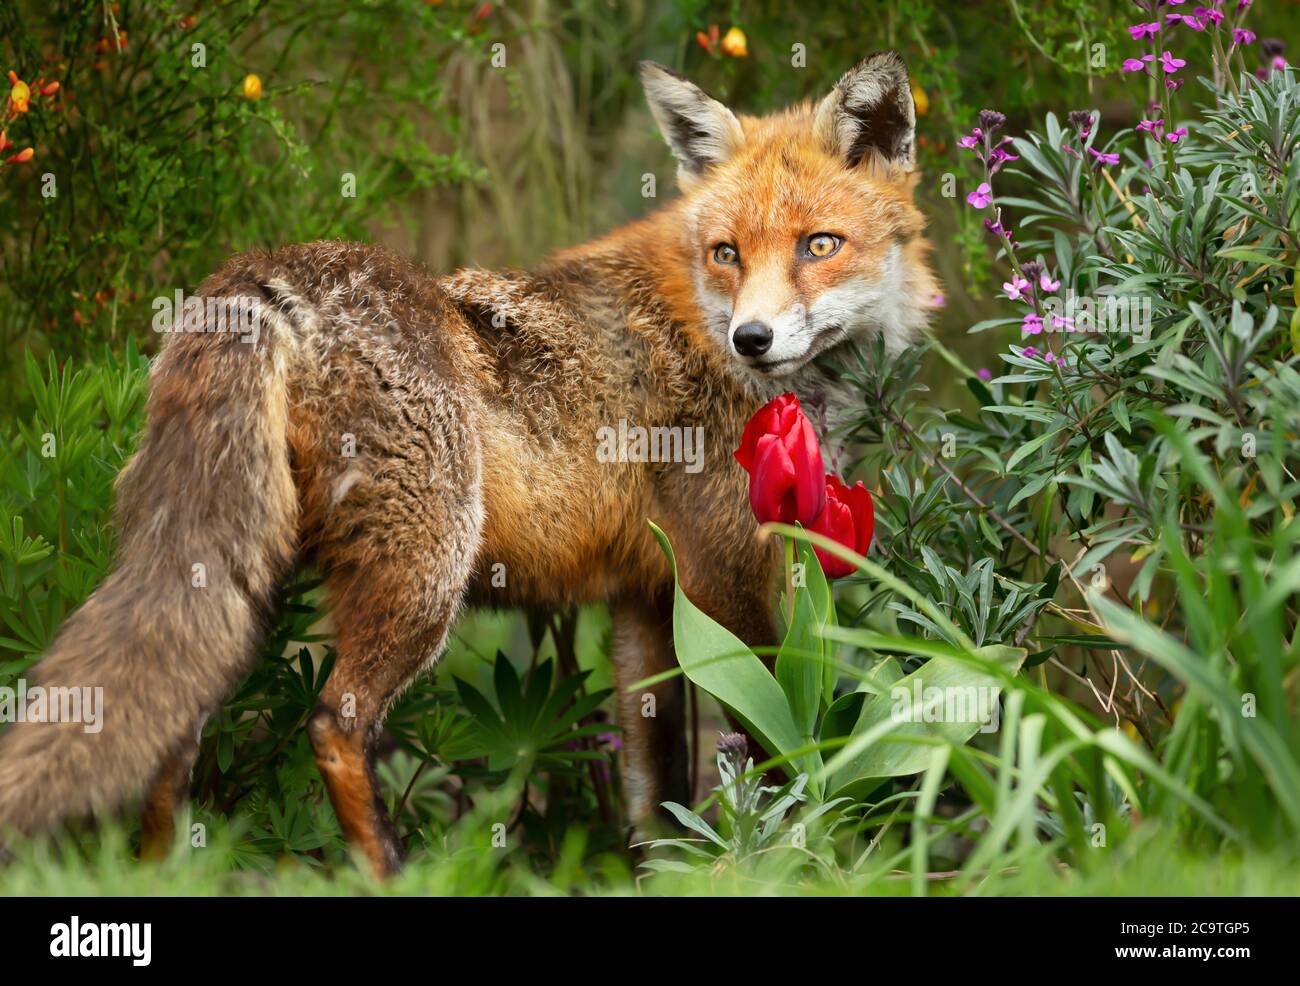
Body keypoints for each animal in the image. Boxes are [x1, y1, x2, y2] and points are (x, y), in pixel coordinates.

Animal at [0, 52, 935, 876]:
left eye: (819, 245)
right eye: (727, 253)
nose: (752, 338)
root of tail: (265, 270)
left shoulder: (647, 598)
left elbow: (653, 787)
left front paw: (669, 874)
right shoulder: (727, 581)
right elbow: (780, 747)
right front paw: (792, 862)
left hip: (235, 575)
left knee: (172, 737)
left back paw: (150, 875)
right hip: (426, 573)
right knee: (333, 725)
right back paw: (392, 870)